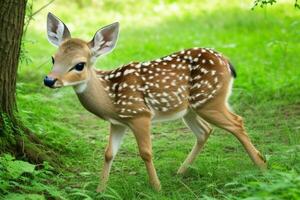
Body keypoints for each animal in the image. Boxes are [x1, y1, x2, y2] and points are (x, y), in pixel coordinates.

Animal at [43, 12, 266, 192]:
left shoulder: (140, 114)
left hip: (210, 100)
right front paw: (100, 191)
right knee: (205, 131)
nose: (49, 80)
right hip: (190, 109)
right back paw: (181, 171)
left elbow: (146, 152)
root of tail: (227, 61)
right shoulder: (118, 122)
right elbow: (108, 154)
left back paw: (262, 166)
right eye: (53, 58)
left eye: (79, 65)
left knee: (237, 122)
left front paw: (157, 188)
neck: (110, 97)